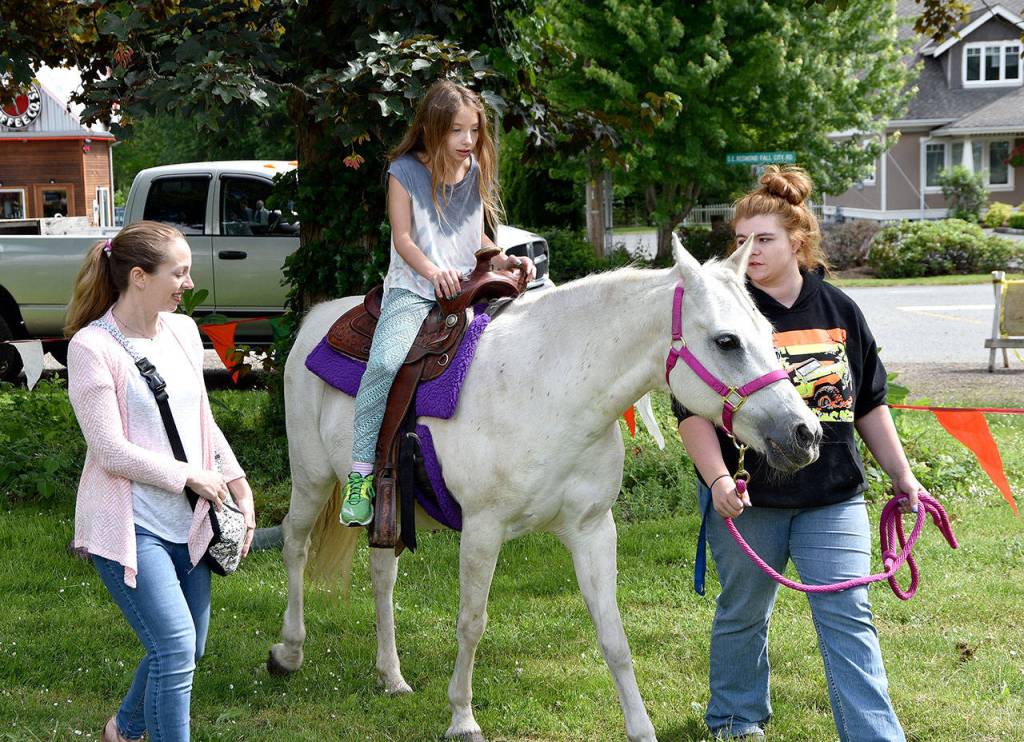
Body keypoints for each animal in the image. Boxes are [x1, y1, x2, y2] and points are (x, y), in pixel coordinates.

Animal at [267, 235, 822, 741]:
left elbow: (613, 636)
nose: (806, 434)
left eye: (768, 330)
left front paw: (640, 729)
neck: (549, 390)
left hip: (389, 508)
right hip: (313, 479)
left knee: (382, 576)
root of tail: (316, 321)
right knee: (295, 543)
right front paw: (462, 718)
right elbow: (471, 621)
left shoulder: (592, 531)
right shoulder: (482, 531)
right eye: (727, 341)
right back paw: (288, 651)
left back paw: (392, 675)